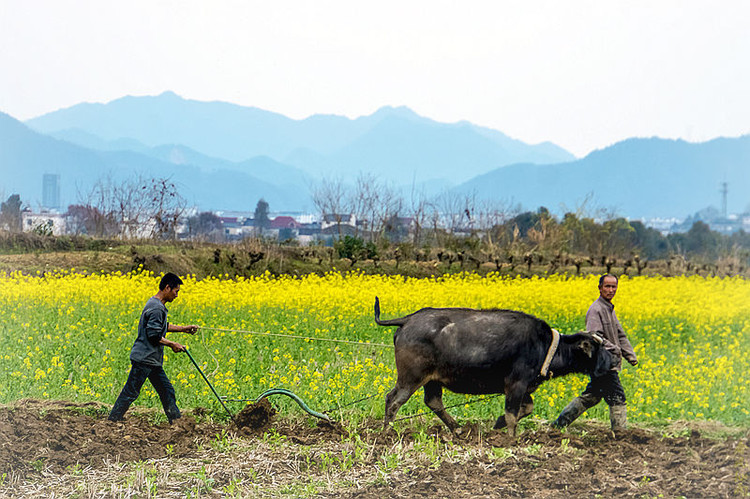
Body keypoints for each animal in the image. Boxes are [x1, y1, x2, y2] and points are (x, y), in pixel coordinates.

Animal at [376, 298, 616, 436]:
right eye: (598, 347)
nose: (614, 361)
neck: (544, 345)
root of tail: (409, 319)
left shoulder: (523, 387)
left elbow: (526, 408)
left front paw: (498, 425)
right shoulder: (516, 384)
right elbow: (512, 413)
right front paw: (510, 438)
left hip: (432, 380)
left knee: (433, 402)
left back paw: (458, 429)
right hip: (411, 377)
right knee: (393, 400)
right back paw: (386, 433)